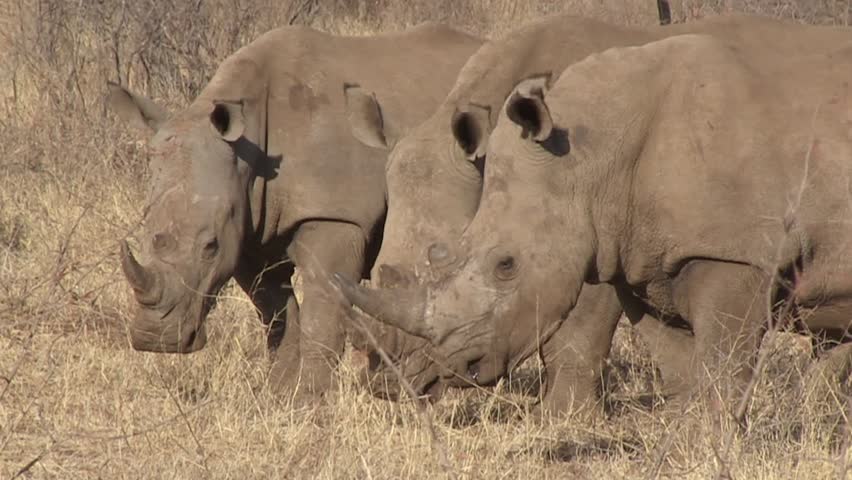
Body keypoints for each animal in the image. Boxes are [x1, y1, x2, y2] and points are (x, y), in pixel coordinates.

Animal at [109, 23, 482, 398]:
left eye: (210, 246)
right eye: (144, 227)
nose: (156, 339)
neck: (246, 149)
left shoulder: (334, 213)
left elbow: (322, 310)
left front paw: (313, 397)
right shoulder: (248, 227)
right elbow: (274, 311)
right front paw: (280, 394)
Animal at [337, 22, 852, 414]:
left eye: (503, 266)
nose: (389, 385)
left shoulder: (723, 249)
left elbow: (583, 334)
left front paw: (561, 419)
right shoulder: (633, 250)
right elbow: (677, 362)